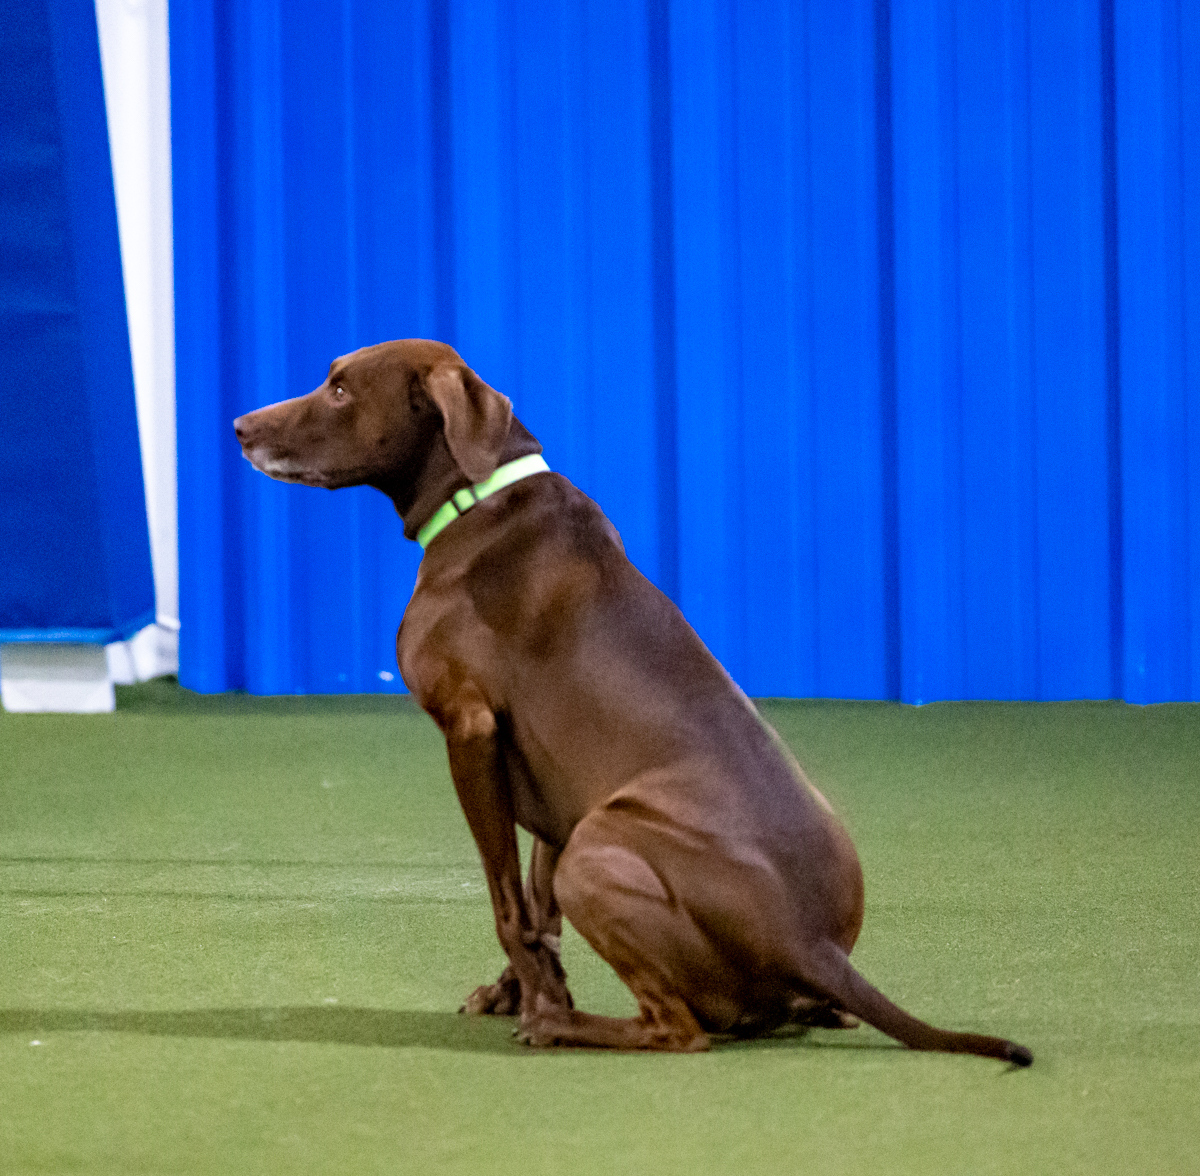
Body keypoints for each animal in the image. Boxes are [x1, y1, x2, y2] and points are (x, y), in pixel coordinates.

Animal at [234, 338, 1032, 1063]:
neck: (479, 499)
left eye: (340, 388)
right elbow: (537, 907)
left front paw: (540, 1001)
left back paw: (567, 1028)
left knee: (681, 1031)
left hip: (602, 846)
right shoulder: (553, 786)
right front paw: (519, 990)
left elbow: (506, 902)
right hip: (600, 830)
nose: (240, 425)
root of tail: (812, 944)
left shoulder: (470, 731)